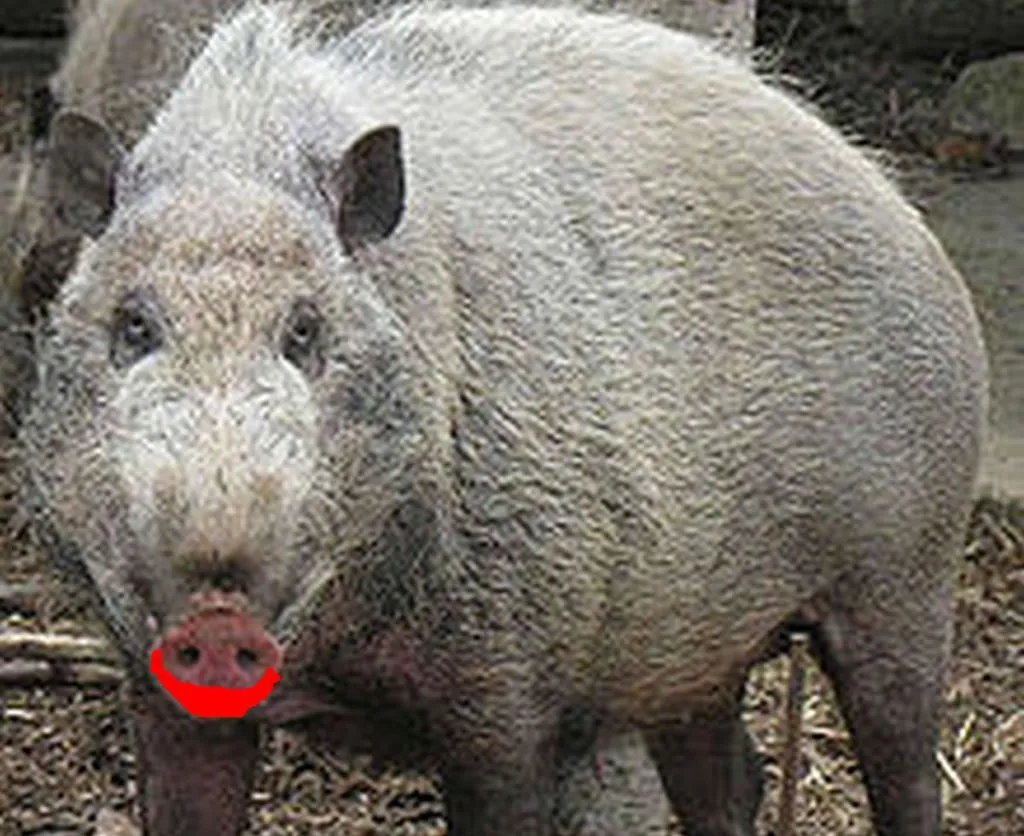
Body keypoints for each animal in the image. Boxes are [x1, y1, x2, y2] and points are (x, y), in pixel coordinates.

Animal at [17, 3, 988, 836]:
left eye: (304, 331)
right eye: (134, 326)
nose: (216, 610)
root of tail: (911, 223)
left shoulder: (510, 682)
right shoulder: (152, 684)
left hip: (909, 565)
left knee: (905, 763)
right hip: (696, 647)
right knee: (732, 777)